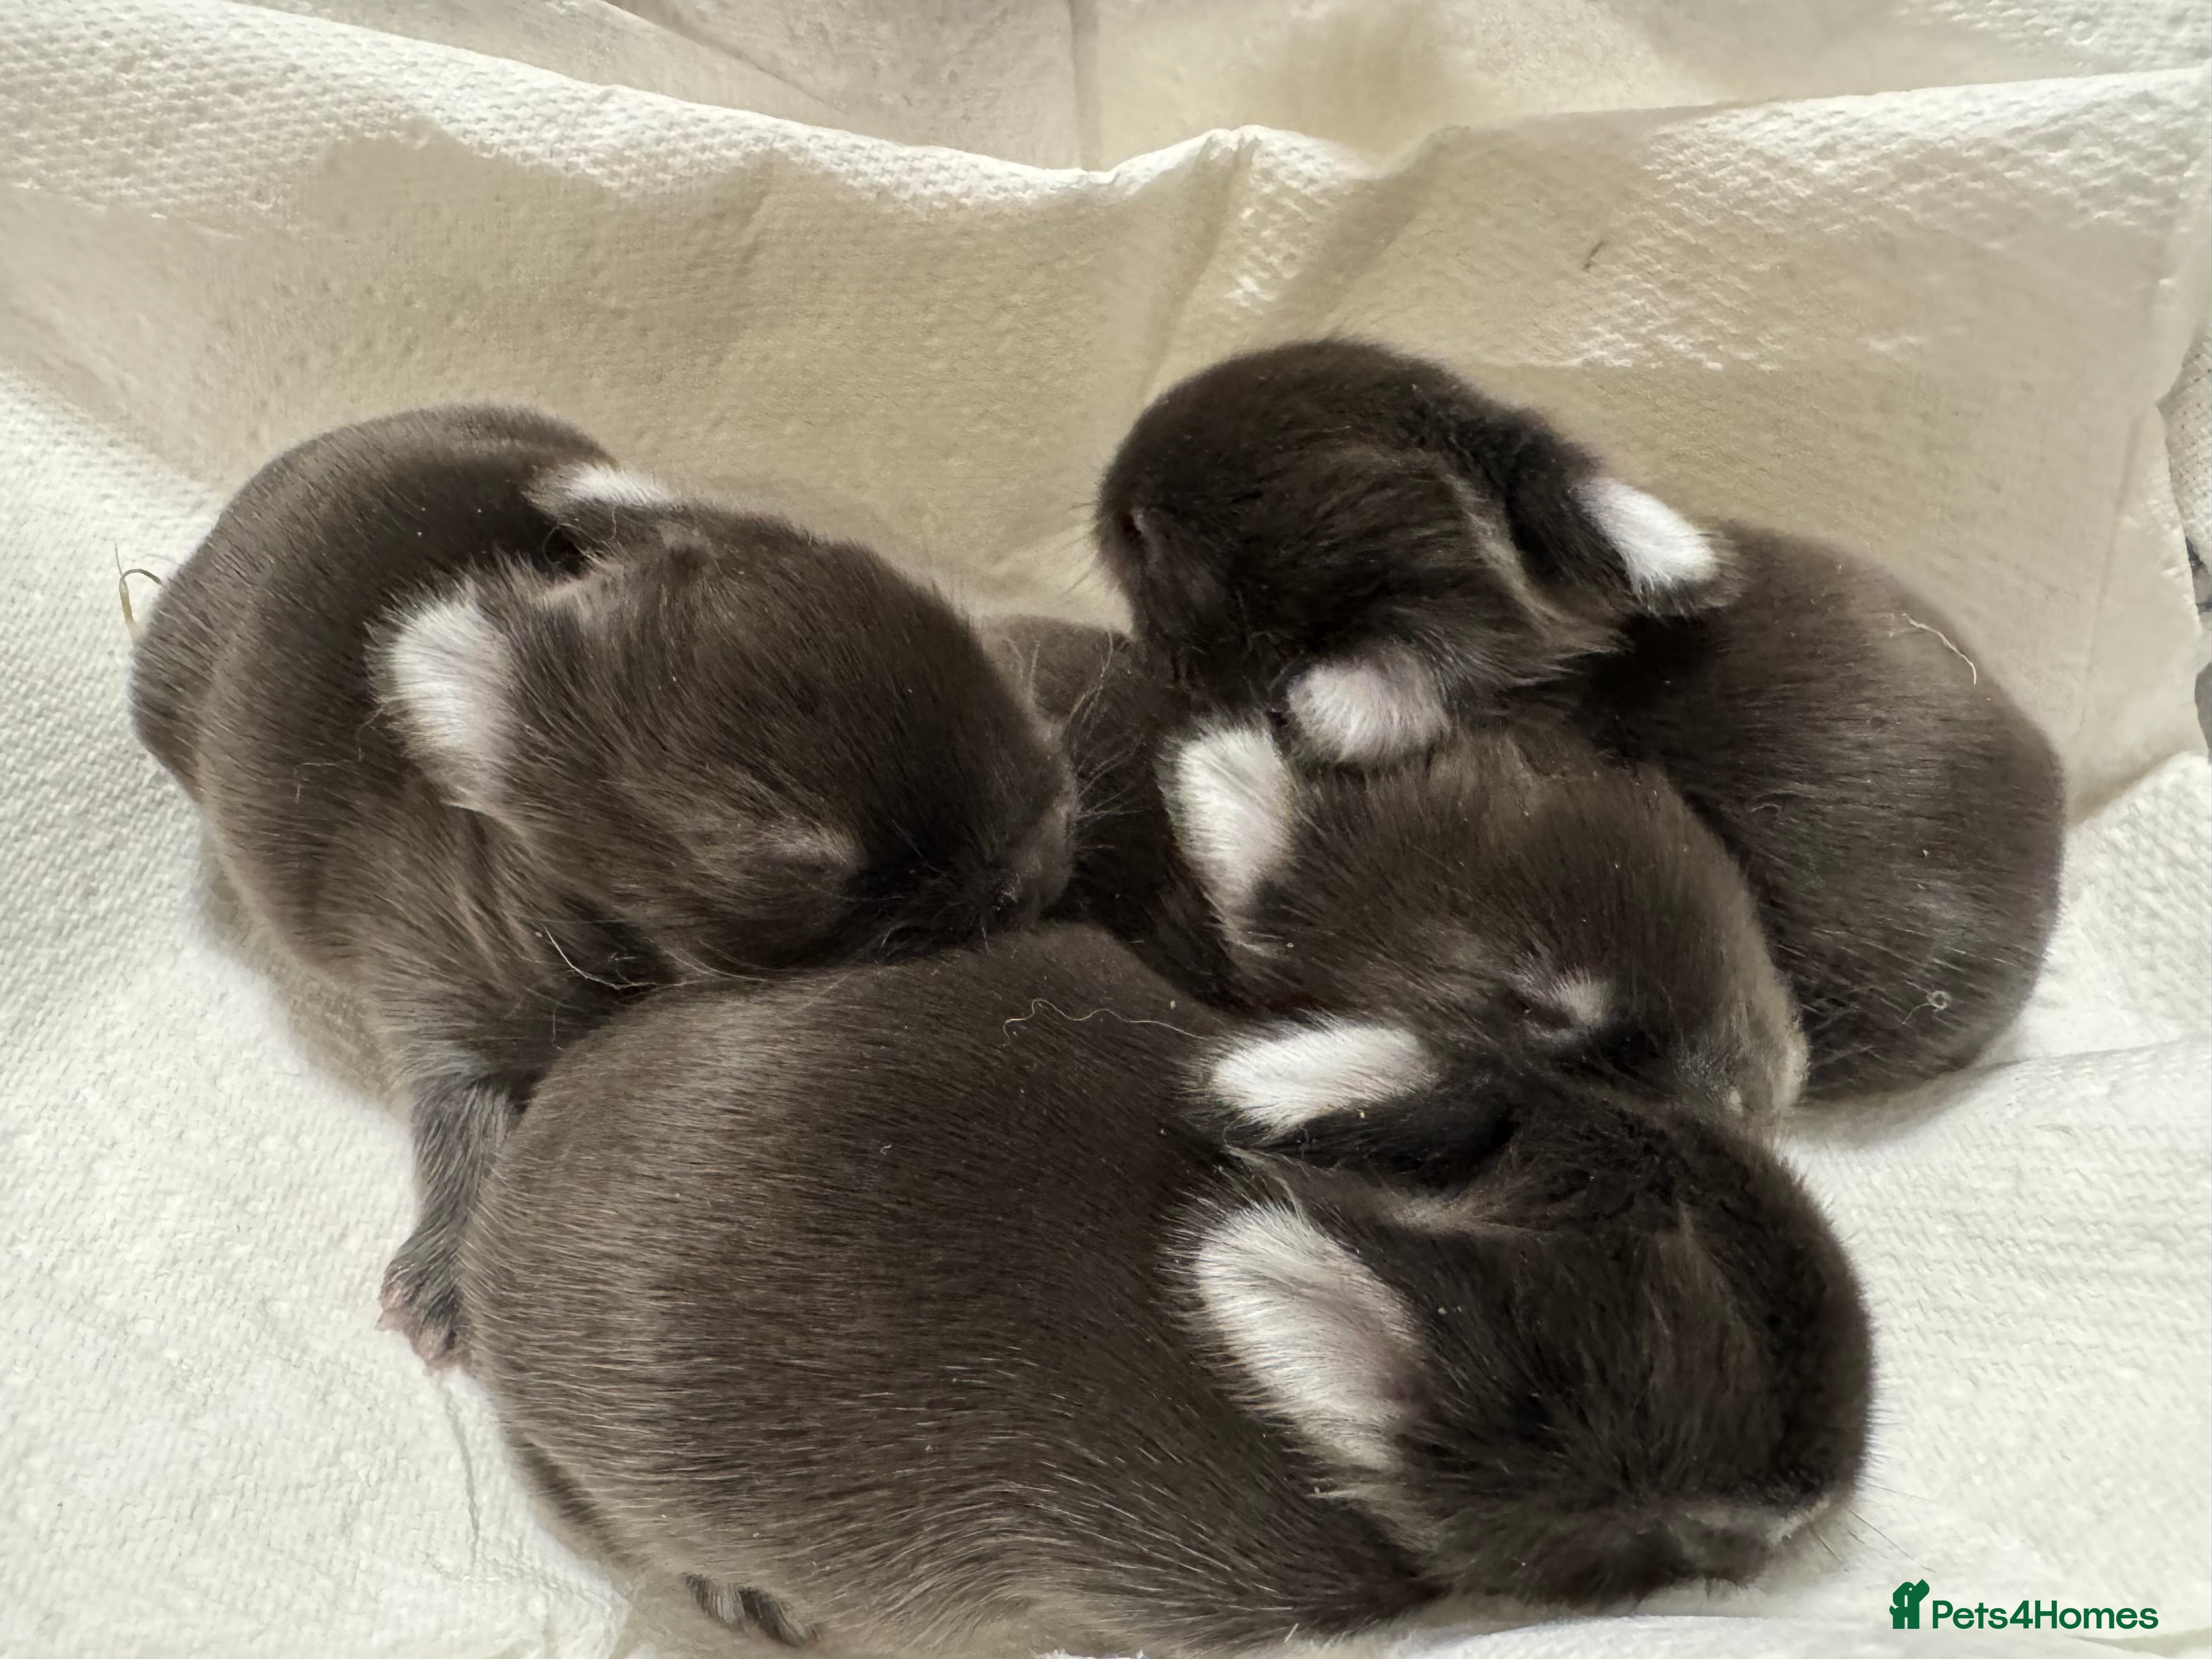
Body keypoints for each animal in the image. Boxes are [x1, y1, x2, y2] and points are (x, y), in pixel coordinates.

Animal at [131, 404, 1075, 1361]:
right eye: (785, 859)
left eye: (961, 635)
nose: (1045, 858)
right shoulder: (434, 985)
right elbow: (461, 1117)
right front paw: (435, 1295)